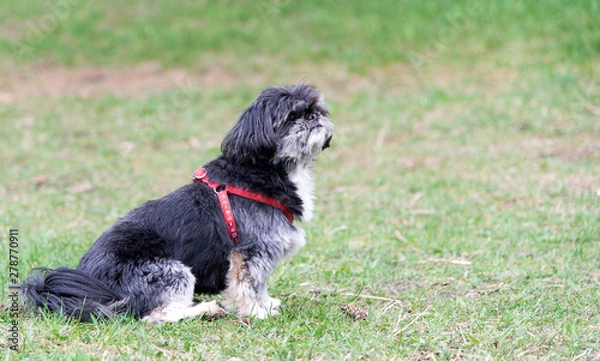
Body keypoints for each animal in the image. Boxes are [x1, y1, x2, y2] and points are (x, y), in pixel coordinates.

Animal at [21, 84, 336, 324]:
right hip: (169, 271)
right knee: (156, 315)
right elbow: (248, 285)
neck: (265, 170)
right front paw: (255, 312)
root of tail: (91, 284)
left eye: (316, 109)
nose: (312, 117)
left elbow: (260, 285)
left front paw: (266, 303)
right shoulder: (249, 252)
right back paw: (205, 309)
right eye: (291, 116)